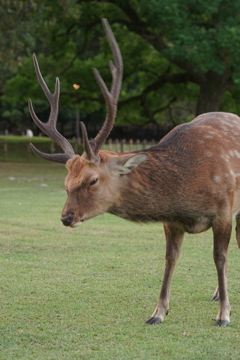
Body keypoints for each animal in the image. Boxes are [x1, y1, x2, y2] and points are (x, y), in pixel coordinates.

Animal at [28, 17, 240, 326]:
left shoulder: (224, 210)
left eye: (92, 180)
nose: (67, 217)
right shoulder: (171, 221)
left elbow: (220, 257)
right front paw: (158, 313)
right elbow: (170, 258)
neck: (186, 193)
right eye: (66, 184)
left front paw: (224, 315)